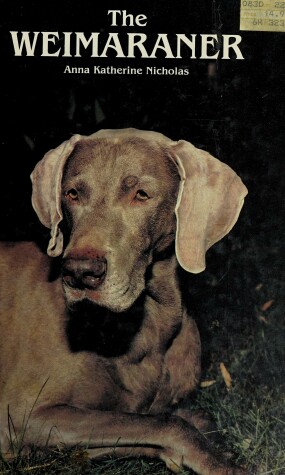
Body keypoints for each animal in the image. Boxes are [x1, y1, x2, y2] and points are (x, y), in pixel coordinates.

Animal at [0, 129, 247, 475]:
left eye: (141, 194)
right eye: (72, 193)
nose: (79, 272)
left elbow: (180, 418)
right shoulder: (25, 414)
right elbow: (166, 423)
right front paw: (222, 463)